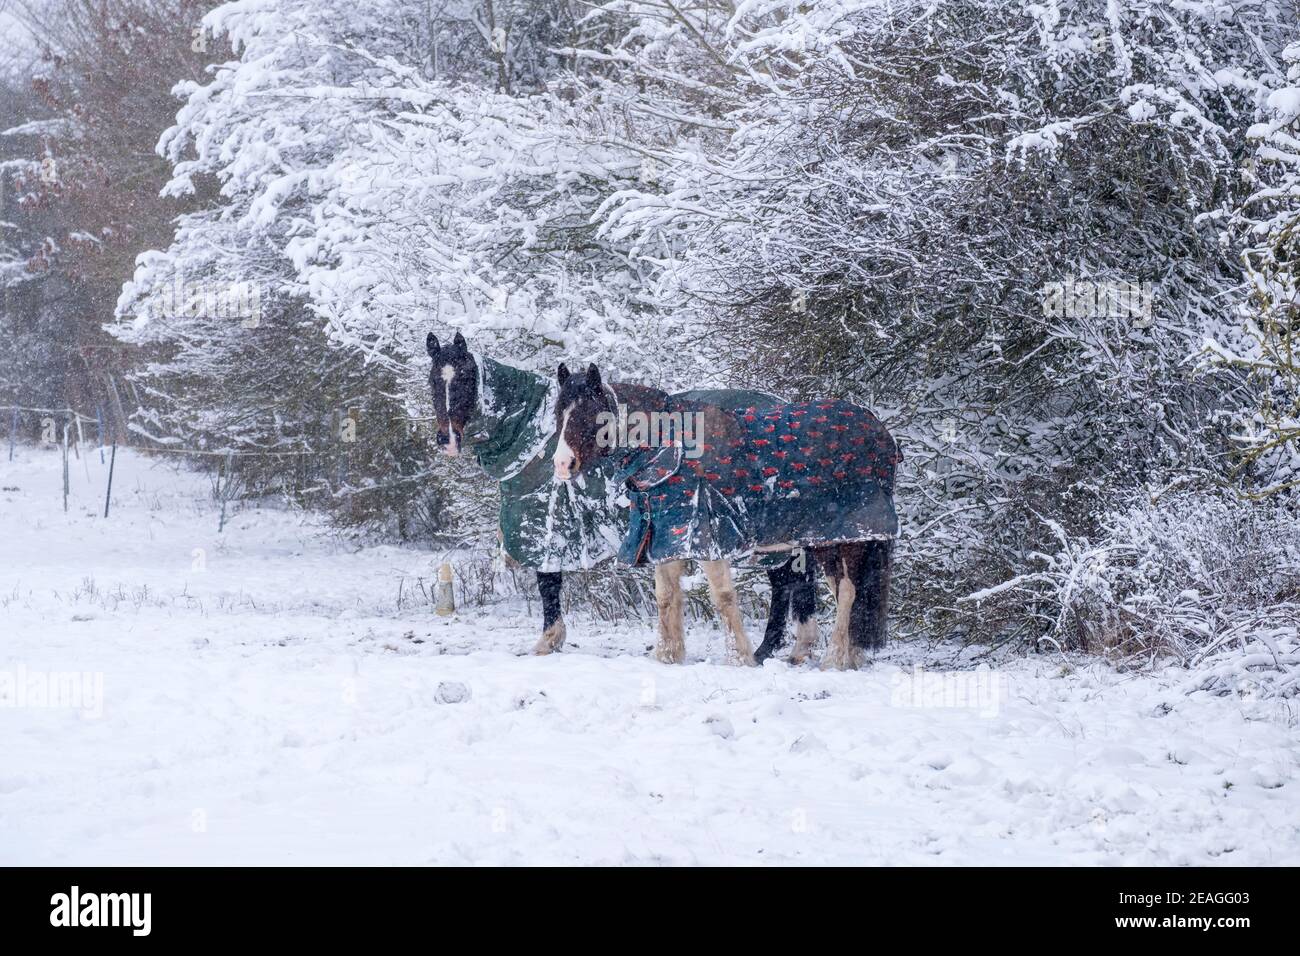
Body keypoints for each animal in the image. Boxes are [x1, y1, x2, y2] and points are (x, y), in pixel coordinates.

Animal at [426, 332, 811, 660]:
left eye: (464, 379)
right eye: (432, 381)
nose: (447, 440)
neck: (538, 440)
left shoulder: (548, 533)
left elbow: (548, 585)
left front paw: (548, 640)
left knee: (789, 581)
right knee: (787, 581)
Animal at [546, 361, 894, 671]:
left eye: (591, 414)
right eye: (559, 413)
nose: (562, 465)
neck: (670, 452)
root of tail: (880, 435)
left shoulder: (706, 537)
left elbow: (723, 597)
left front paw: (740, 658)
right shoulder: (667, 536)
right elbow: (665, 597)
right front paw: (667, 656)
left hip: (848, 537)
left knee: (848, 592)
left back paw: (834, 660)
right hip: (824, 540)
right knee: (848, 592)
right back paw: (850, 658)